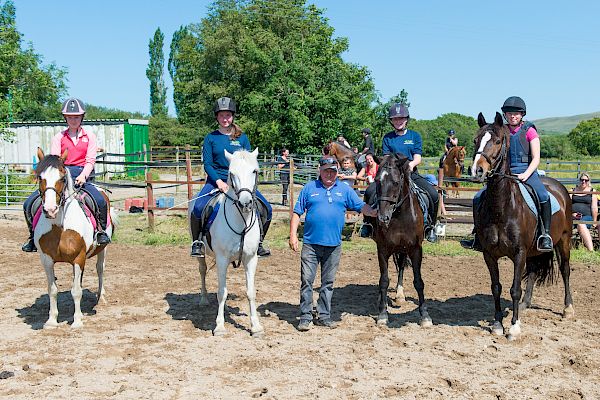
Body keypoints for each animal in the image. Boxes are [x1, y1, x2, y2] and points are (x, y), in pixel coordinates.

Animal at [33, 147, 116, 328]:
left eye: (62, 178)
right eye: (40, 177)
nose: (50, 210)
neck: (59, 228)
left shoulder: (78, 258)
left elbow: (76, 291)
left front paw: (77, 321)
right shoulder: (46, 260)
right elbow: (52, 290)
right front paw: (51, 320)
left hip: (103, 249)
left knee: (100, 269)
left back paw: (101, 298)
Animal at [376, 152, 432, 326]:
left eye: (395, 182)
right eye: (377, 180)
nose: (383, 218)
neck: (400, 215)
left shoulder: (415, 249)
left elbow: (419, 281)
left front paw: (425, 315)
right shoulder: (382, 248)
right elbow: (384, 280)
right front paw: (382, 313)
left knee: (401, 266)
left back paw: (400, 295)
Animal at [474, 111, 572, 340]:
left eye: (497, 141)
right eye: (475, 141)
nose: (478, 170)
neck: (501, 208)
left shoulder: (519, 252)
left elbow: (514, 289)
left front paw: (514, 327)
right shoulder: (489, 254)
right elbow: (496, 287)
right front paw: (497, 323)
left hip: (564, 240)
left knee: (565, 270)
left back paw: (568, 308)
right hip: (535, 250)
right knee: (534, 270)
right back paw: (526, 304)